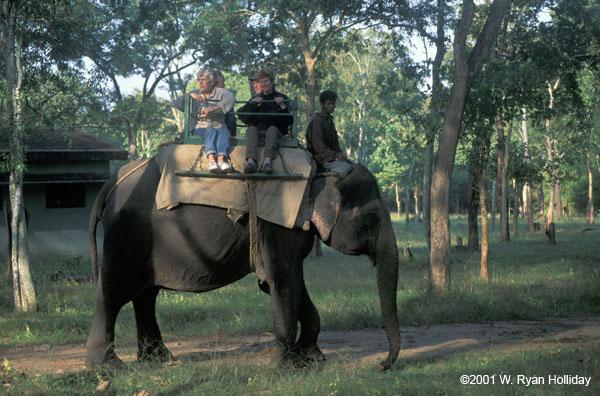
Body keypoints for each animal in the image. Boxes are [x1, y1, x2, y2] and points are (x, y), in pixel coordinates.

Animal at [84, 154, 400, 368]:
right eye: (372, 216)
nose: (383, 365)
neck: (317, 173)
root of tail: (109, 184)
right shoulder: (276, 226)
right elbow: (281, 279)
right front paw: (288, 366)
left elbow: (290, 281)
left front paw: (313, 357)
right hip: (126, 234)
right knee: (112, 294)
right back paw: (108, 368)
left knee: (146, 295)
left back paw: (158, 360)